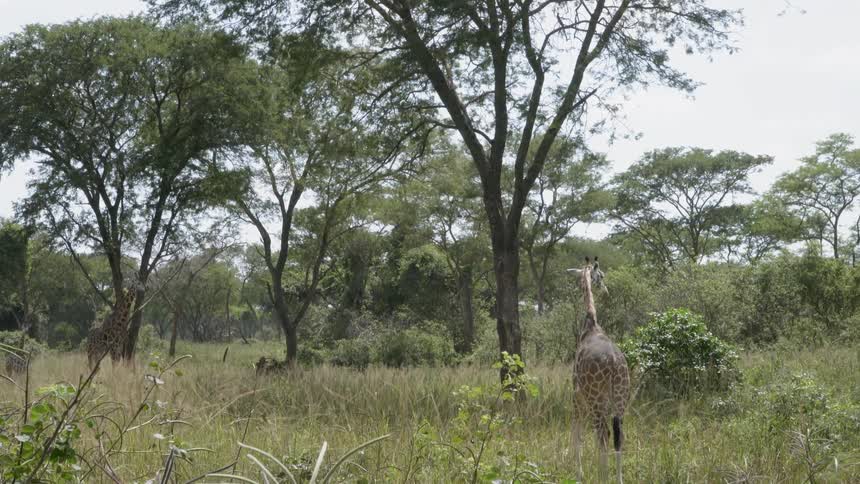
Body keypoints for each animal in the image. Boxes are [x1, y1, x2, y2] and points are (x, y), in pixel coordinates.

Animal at [571, 257, 630, 483]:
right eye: (602, 276)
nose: (605, 290)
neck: (591, 324)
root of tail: (613, 361)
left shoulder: (576, 394)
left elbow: (577, 433)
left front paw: (580, 475)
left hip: (596, 400)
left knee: (602, 434)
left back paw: (603, 476)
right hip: (620, 397)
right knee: (618, 435)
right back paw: (618, 478)